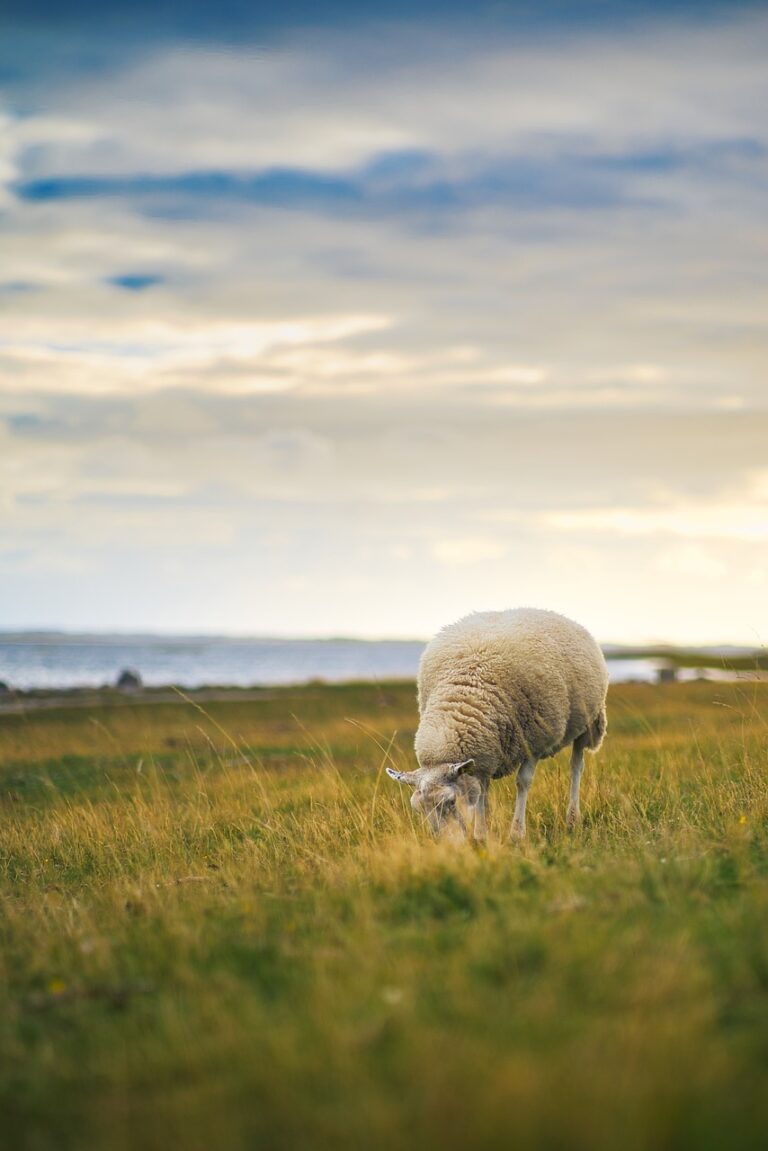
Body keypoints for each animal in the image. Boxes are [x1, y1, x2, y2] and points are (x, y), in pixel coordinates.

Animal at [386, 607, 607, 842]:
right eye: (418, 809)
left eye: (451, 801)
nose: (447, 845)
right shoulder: (485, 753)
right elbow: (482, 791)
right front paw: (482, 833)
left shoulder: (533, 742)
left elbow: (523, 782)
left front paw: (516, 834)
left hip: (587, 723)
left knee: (576, 767)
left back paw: (572, 818)